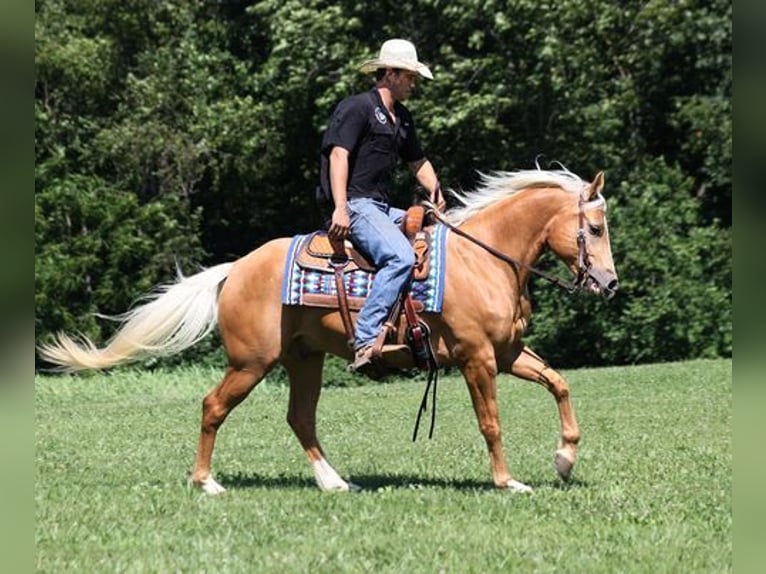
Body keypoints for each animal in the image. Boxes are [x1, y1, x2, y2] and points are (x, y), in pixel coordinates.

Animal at [40, 170, 616, 496]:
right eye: (594, 228)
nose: (609, 283)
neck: (485, 260)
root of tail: (235, 268)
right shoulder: (477, 357)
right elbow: (491, 422)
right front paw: (508, 481)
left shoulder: (509, 352)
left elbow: (560, 383)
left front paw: (564, 460)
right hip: (251, 363)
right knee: (213, 406)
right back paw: (207, 483)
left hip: (304, 359)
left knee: (300, 418)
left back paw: (334, 482)